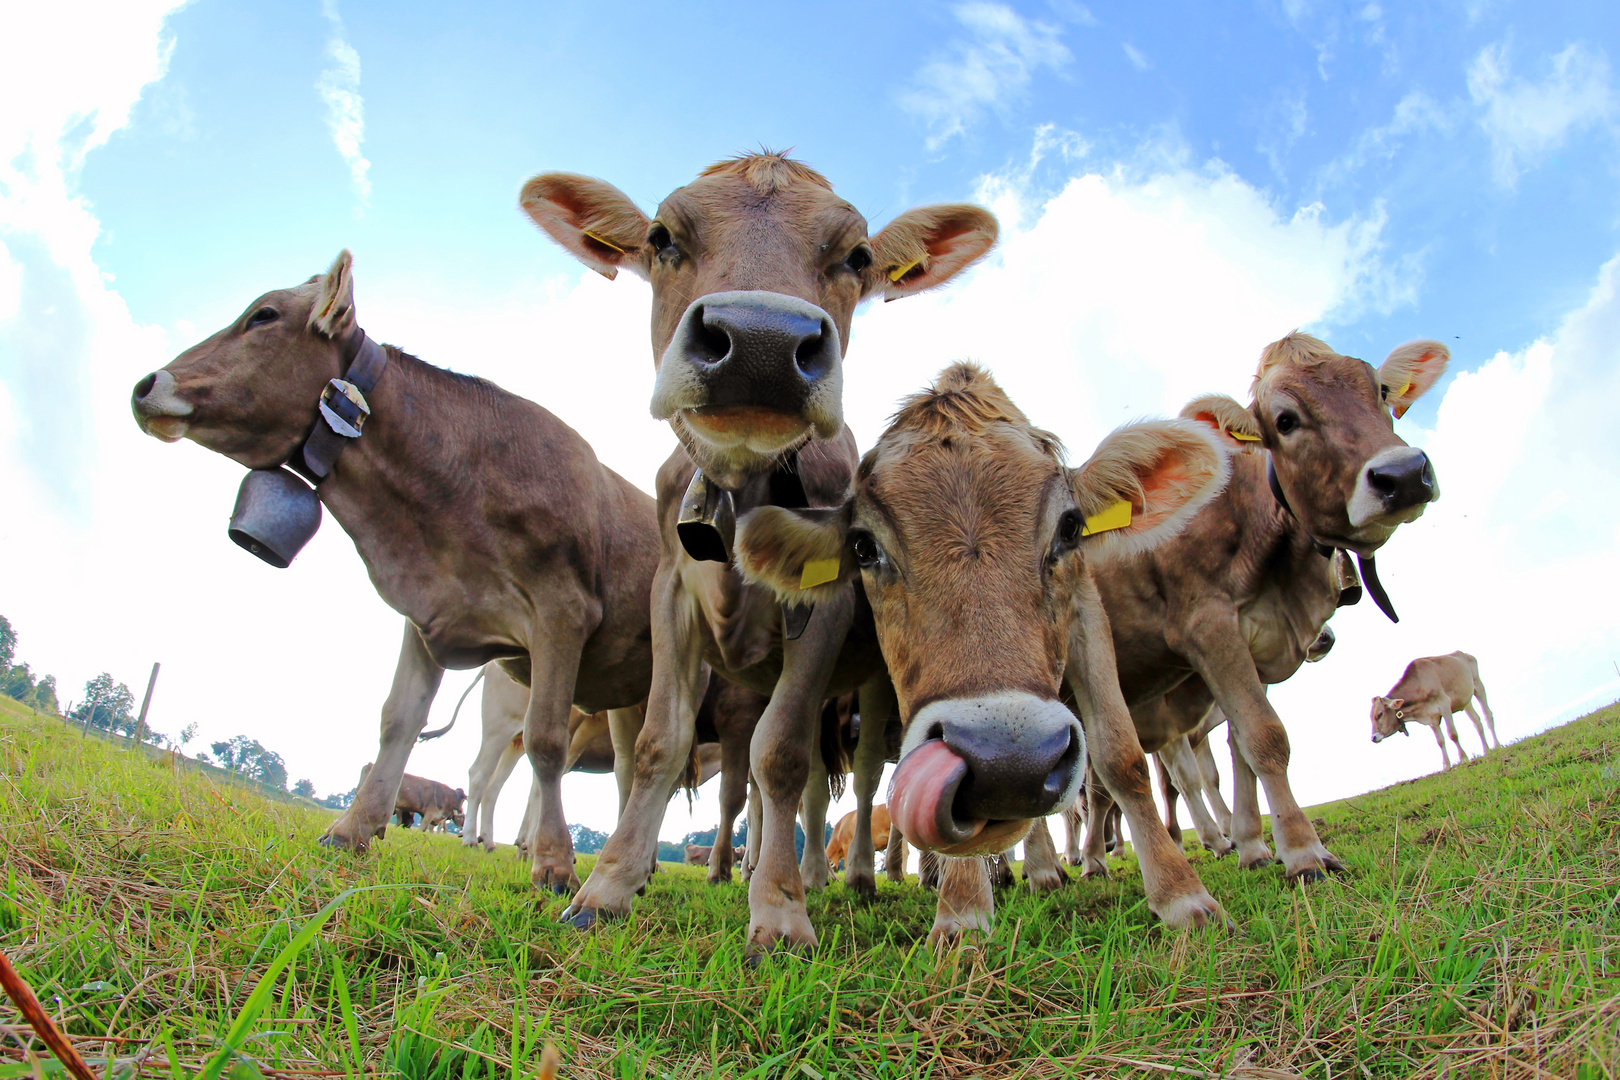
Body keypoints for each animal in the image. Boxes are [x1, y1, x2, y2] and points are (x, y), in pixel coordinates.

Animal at [127, 255, 657, 893]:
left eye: (264, 315)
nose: (145, 385)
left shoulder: (563, 613)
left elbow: (548, 742)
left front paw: (553, 864)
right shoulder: (430, 611)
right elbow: (396, 722)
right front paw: (353, 828)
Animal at [524, 152, 991, 952]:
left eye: (856, 257)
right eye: (661, 236)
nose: (762, 344)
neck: (743, 489)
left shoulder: (827, 604)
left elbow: (780, 753)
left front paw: (777, 912)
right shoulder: (671, 592)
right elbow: (659, 741)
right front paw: (608, 886)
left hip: (868, 684)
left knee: (858, 776)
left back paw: (853, 879)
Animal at [738, 362, 1224, 939]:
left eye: (1071, 526)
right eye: (863, 547)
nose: (1007, 764)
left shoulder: (1086, 606)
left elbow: (1121, 754)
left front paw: (1182, 894)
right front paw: (963, 911)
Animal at [1069, 333, 1451, 880]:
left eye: (1379, 389)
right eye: (1285, 420)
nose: (1402, 474)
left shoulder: (1258, 641)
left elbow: (1241, 749)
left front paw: (1254, 846)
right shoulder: (1208, 626)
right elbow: (1265, 737)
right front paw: (1305, 852)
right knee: (1097, 794)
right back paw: (1089, 863)